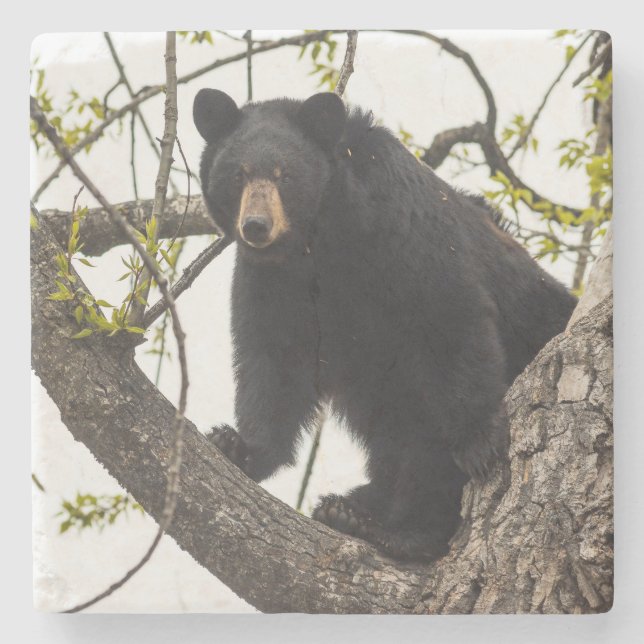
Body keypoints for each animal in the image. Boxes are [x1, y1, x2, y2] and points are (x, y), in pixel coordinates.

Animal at [193, 89, 577, 561]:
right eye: (237, 175)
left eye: (285, 175)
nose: (256, 227)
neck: (321, 239)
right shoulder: (274, 281)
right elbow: (273, 360)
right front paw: (238, 445)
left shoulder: (401, 228)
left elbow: (448, 316)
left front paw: (479, 443)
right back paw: (351, 509)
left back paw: (395, 528)